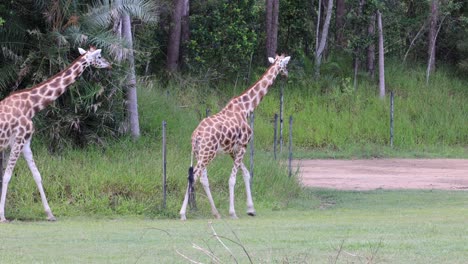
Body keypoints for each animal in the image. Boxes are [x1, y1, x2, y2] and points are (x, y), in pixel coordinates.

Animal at [0, 46, 110, 222]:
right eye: (99, 56)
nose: (110, 64)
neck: (32, 106)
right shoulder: (18, 140)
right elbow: (7, 176)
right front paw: (2, 216)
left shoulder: (25, 142)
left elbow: (37, 175)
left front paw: (50, 214)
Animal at [181, 54, 290, 221]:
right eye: (285, 65)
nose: (286, 74)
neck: (246, 108)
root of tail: (196, 136)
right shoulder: (243, 146)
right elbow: (233, 178)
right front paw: (233, 212)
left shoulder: (233, 150)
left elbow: (246, 173)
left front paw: (251, 209)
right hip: (207, 153)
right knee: (194, 176)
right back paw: (183, 214)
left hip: (201, 153)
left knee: (202, 178)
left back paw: (216, 213)